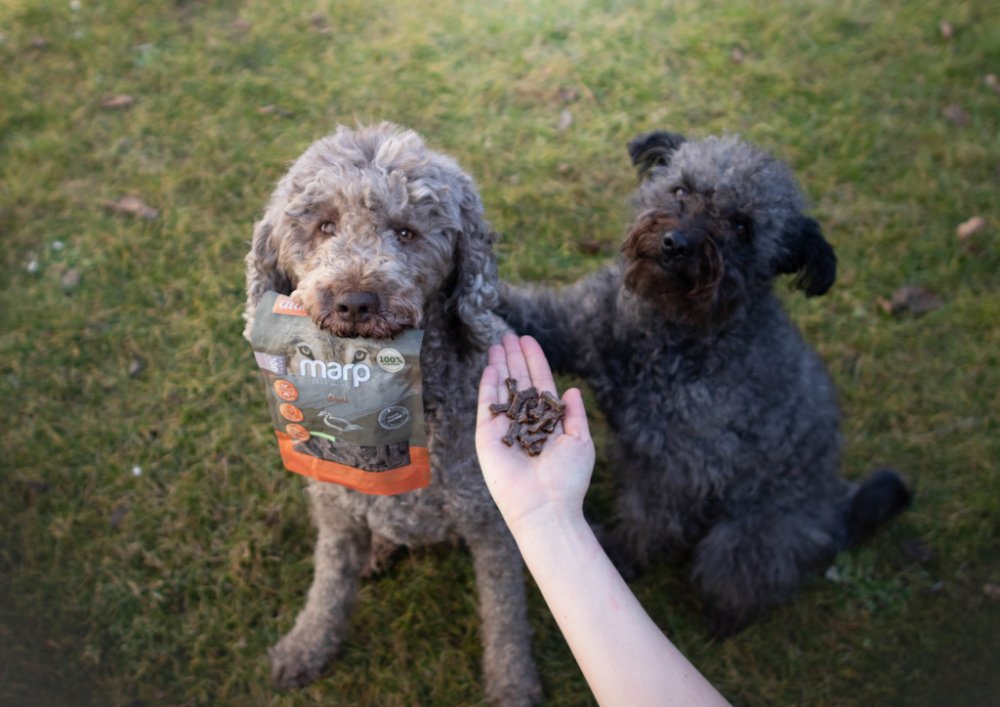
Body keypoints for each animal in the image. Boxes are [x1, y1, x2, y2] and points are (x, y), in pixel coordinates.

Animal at [244, 123, 540, 704]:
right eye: (324, 225)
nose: (355, 300)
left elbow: (505, 613)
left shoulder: (492, 526)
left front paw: (512, 683)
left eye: (406, 232)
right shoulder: (335, 511)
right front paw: (306, 646)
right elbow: (329, 584)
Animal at [498, 130, 911, 635]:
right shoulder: (572, 324)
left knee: (743, 576)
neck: (661, 330)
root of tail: (835, 511)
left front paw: (620, 556)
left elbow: (649, 522)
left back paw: (723, 622)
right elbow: (526, 310)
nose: (677, 243)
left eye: (741, 226)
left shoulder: (681, 466)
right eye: (681, 189)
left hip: (746, 539)